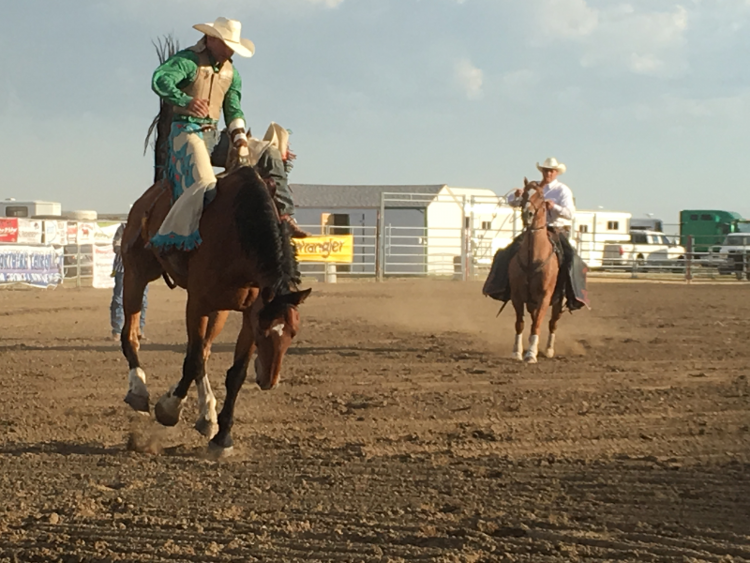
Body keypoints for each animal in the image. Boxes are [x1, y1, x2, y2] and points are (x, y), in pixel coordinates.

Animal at [119, 39, 312, 456]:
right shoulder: (200, 303)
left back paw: (206, 414)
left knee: (203, 352)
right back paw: (140, 391)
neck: (238, 232)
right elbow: (191, 360)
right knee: (131, 335)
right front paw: (168, 409)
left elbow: (231, 371)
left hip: (220, 307)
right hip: (136, 273)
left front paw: (222, 435)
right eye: (268, 330)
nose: (269, 380)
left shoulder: (244, 310)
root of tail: (155, 190)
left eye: (292, 331)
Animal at [512, 181, 564, 366]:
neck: (533, 257)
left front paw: (531, 354)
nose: (527, 214)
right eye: (524, 194)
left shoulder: (544, 296)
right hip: (531, 302)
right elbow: (520, 323)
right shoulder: (517, 296)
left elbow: (537, 325)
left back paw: (548, 349)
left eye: (541, 196)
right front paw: (517, 352)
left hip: (557, 301)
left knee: (552, 323)